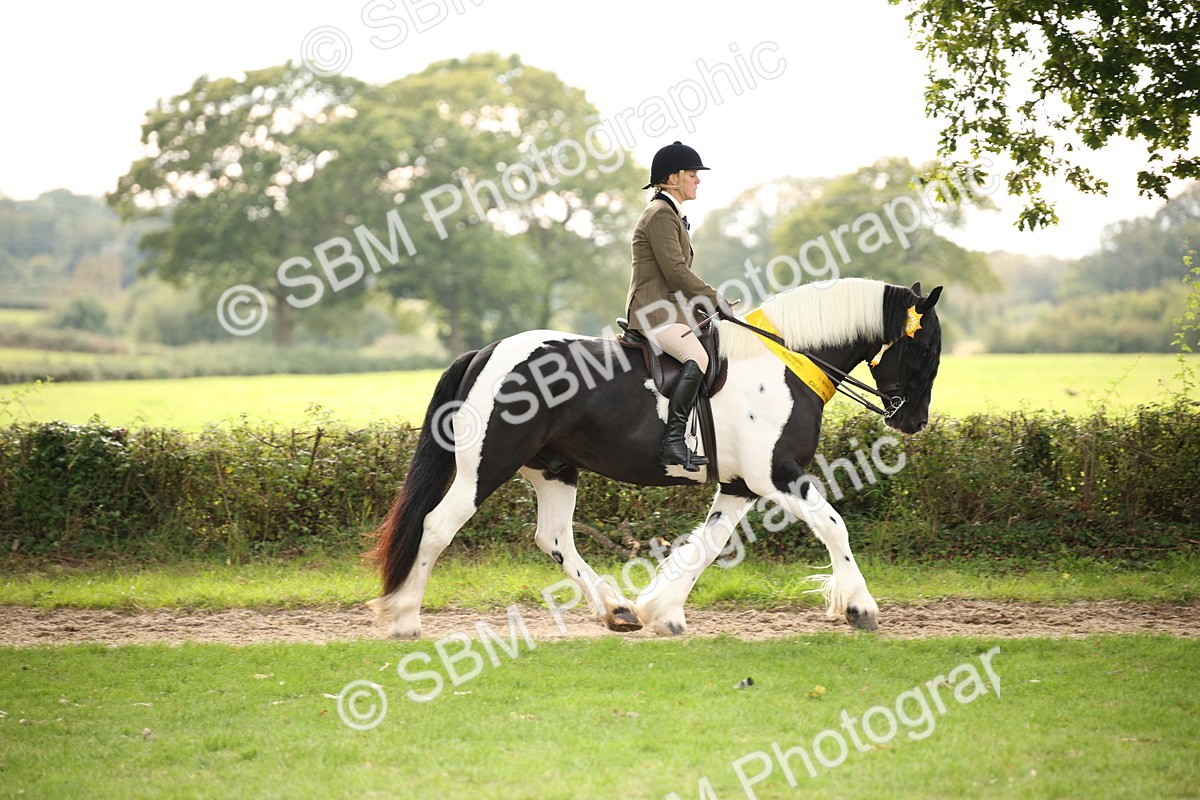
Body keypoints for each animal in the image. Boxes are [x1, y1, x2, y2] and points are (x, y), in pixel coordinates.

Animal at [367, 277, 943, 637]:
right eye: (923, 349)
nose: (911, 422)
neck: (784, 362)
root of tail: (486, 352)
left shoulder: (741, 486)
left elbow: (708, 546)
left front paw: (664, 613)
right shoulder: (779, 475)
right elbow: (834, 526)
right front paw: (860, 607)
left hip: (555, 470)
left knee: (553, 539)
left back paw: (618, 610)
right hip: (487, 465)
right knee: (436, 526)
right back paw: (403, 617)